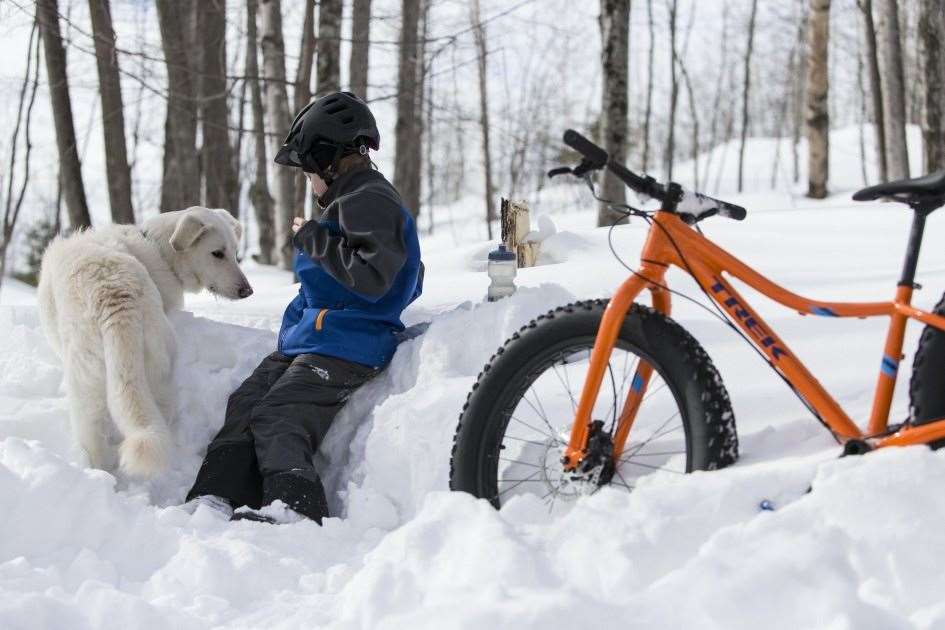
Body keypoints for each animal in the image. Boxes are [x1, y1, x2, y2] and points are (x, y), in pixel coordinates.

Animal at [37, 207, 251, 478]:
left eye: (234, 252)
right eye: (218, 253)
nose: (248, 291)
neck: (158, 250)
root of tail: (113, 295)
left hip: (92, 383)